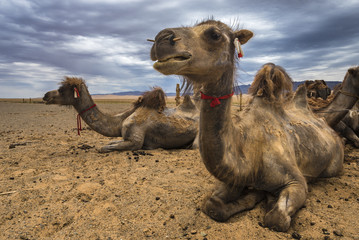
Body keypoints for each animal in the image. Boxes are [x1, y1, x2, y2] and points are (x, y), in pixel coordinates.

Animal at [43, 77, 200, 152]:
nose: (45, 95)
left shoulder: (135, 140)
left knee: (195, 146)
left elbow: (103, 148)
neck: (120, 121)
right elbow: (109, 143)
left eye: (61, 90)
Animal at [150, 19, 344, 232]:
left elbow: (276, 219)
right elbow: (211, 205)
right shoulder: (235, 178)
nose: (161, 39)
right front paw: (253, 195)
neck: (250, 154)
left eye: (214, 34)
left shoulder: (297, 181)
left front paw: (264, 199)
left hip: (334, 164)